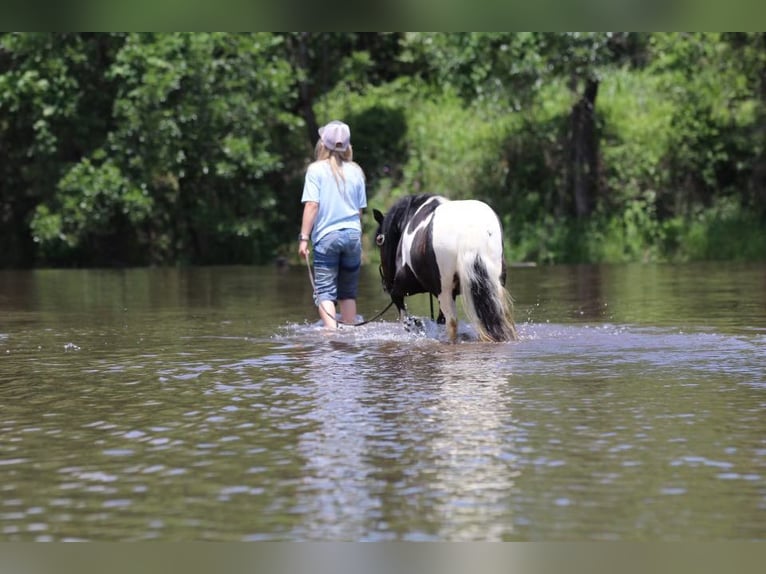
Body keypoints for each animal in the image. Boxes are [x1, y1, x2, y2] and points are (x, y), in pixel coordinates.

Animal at [376, 196, 520, 344]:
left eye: (379, 240)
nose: (385, 285)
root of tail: (471, 232)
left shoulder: (401, 289)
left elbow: (405, 316)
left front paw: (417, 326)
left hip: (444, 291)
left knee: (452, 322)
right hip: (495, 285)